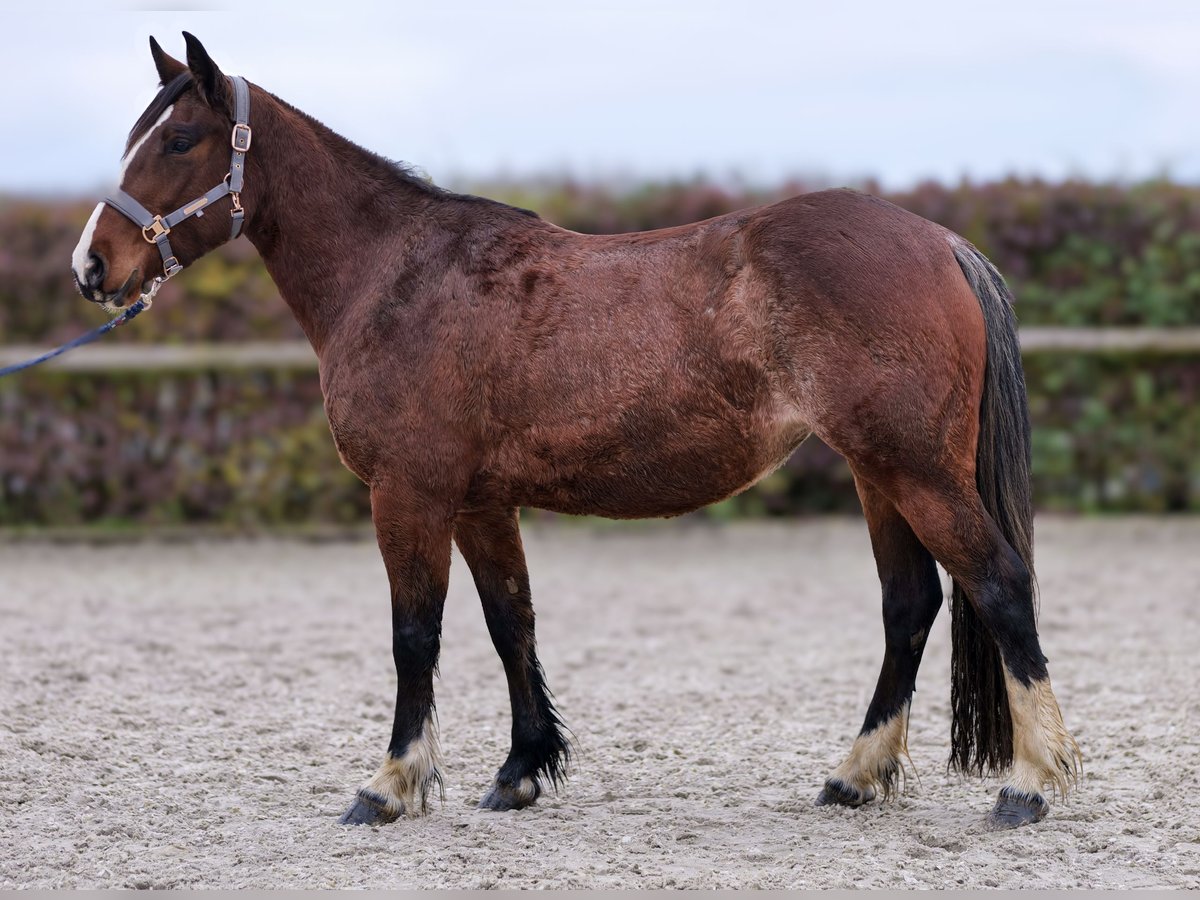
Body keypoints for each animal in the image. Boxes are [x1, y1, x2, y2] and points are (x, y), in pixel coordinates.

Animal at [70, 33, 1084, 830]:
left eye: (181, 139)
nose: (92, 266)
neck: (396, 275)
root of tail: (938, 242)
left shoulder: (410, 493)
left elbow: (415, 634)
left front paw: (391, 785)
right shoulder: (479, 502)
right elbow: (508, 622)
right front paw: (522, 770)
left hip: (915, 470)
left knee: (1000, 584)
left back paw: (1030, 785)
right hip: (879, 473)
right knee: (909, 605)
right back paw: (855, 775)